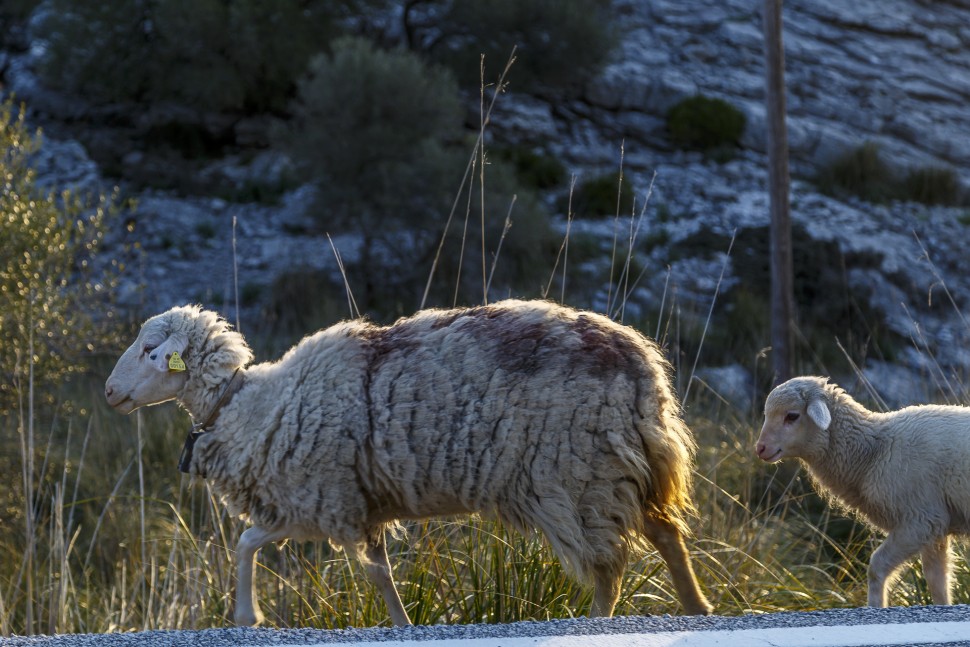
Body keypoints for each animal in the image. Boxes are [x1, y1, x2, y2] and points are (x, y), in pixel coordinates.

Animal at [104, 302, 712, 624]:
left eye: (149, 351)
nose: (109, 392)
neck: (246, 403)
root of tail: (643, 364)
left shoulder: (321, 499)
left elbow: (261, 545)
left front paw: (246, 616)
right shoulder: (335, 504)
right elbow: (365, 570)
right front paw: (399, 623)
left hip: (579, 475)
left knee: (610, 566)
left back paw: (598, 621)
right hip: (623, 466)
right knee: (665, 533)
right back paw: (698, 607)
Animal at [756, 378, 968, 612]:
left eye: (792, 416)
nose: (760, 448)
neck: (874, 452)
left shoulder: (919, 521)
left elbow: (876, 568)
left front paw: (876, 606)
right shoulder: (936, 526)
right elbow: (937, 580)